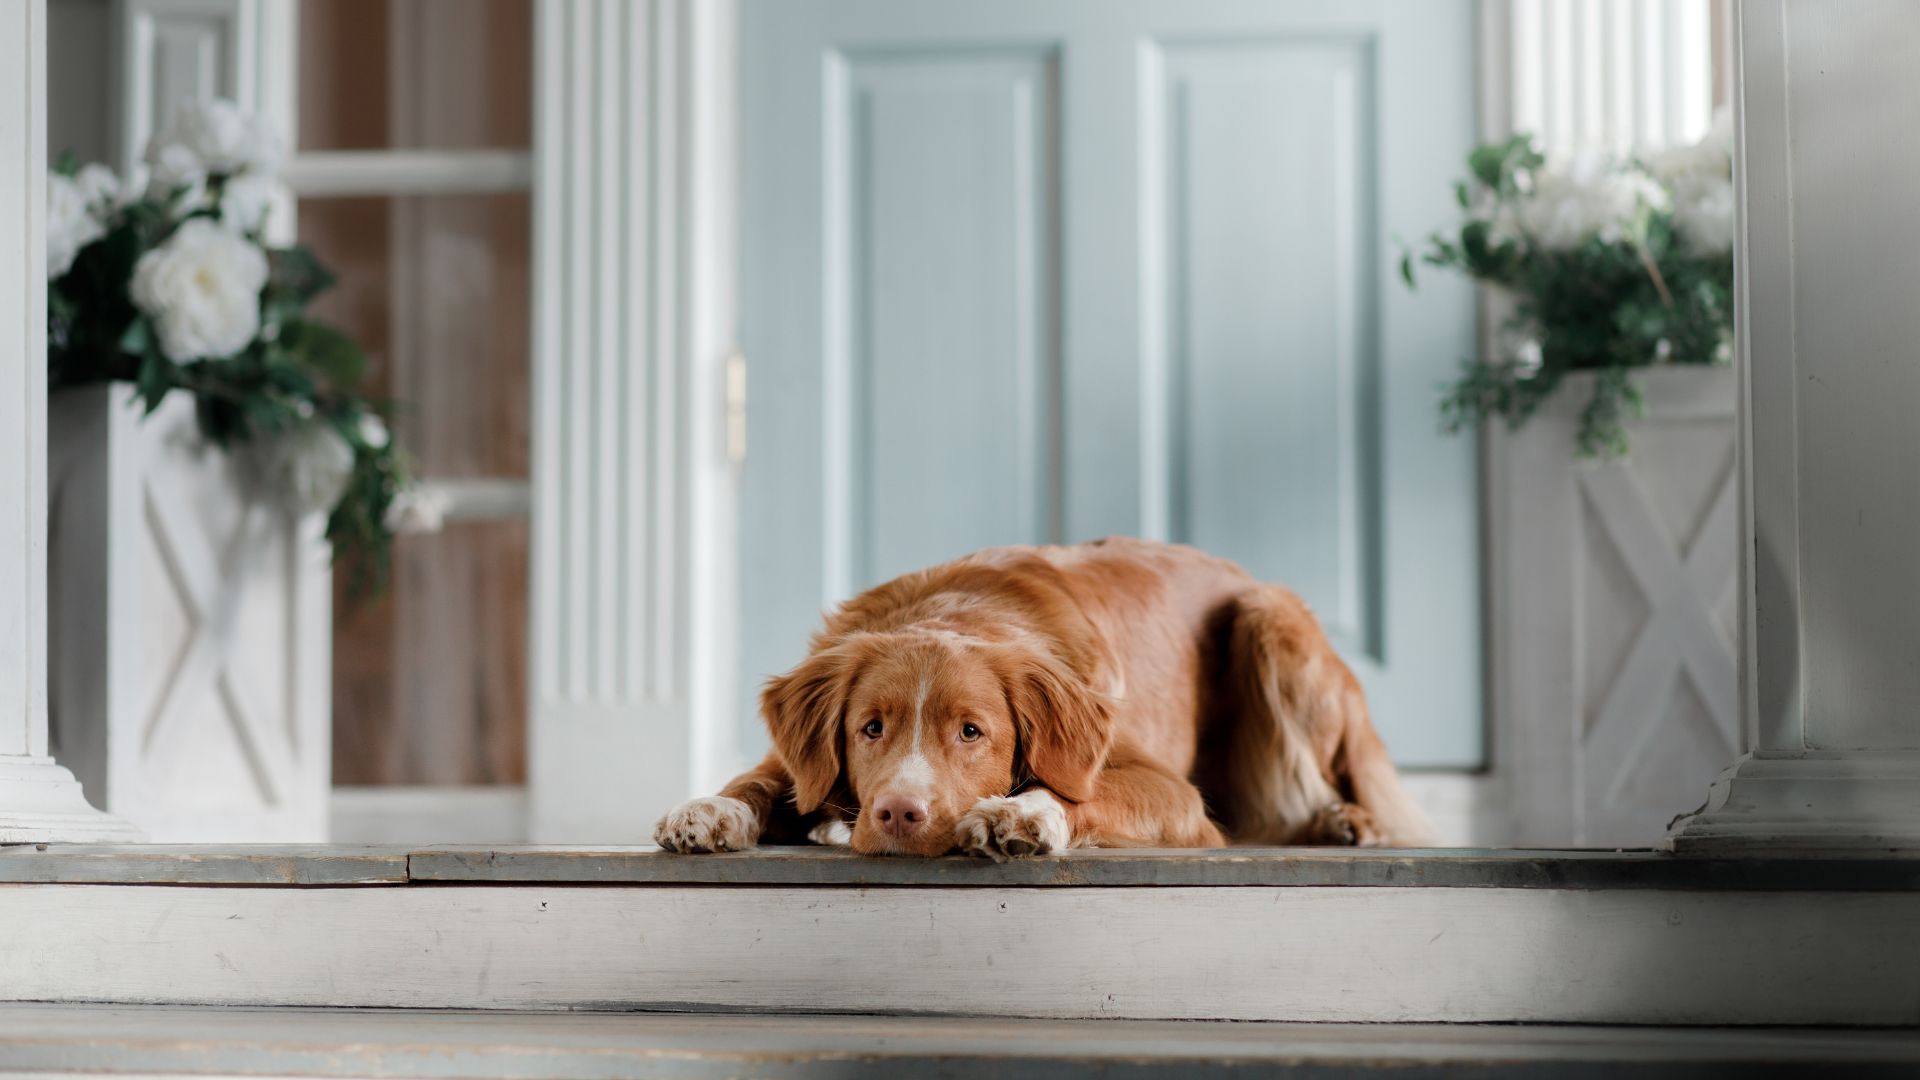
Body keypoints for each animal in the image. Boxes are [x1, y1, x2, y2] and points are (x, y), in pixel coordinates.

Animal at [652, 534, 1436, 853]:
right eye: (869, 729)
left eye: (972, 732)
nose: (898, 813)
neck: (957, 612)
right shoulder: (798, 757)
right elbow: (758, 780)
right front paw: (709, 810)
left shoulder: (1172, 793)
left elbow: (1080, 791)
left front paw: (1022, 814)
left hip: (1270, 618)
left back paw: (1346, 821)